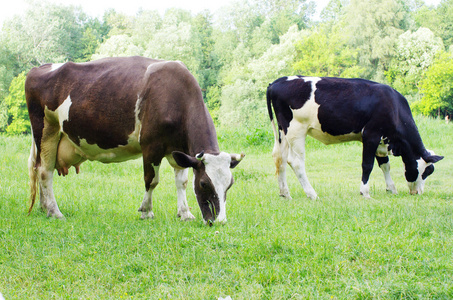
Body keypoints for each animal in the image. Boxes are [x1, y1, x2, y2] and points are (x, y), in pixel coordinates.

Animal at [24, 57, 244, 224]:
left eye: (230, 184)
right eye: (205, 184)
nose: (220, 221)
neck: (176, 96)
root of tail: (39, 68)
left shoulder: (178, 150)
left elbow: (181, 181)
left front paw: (185, 213)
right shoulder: (151, 145)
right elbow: (151, 180)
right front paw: (146, 211)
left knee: (40, 168)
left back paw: (44, 207)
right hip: (46, 129)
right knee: (44, 172)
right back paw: (54, 211)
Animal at [266, 76, 444, 200]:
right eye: (426, 172)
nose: (418, 192)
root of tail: (277, 82)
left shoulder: (381, 141)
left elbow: (385, 165)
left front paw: (391, 189)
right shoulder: (371, 134)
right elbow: (367, 165)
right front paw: (365, 192)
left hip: (283, 132)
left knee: (280, 158)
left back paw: (285, 193)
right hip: (296, 130)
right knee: (296, 162)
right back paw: (312, 194)